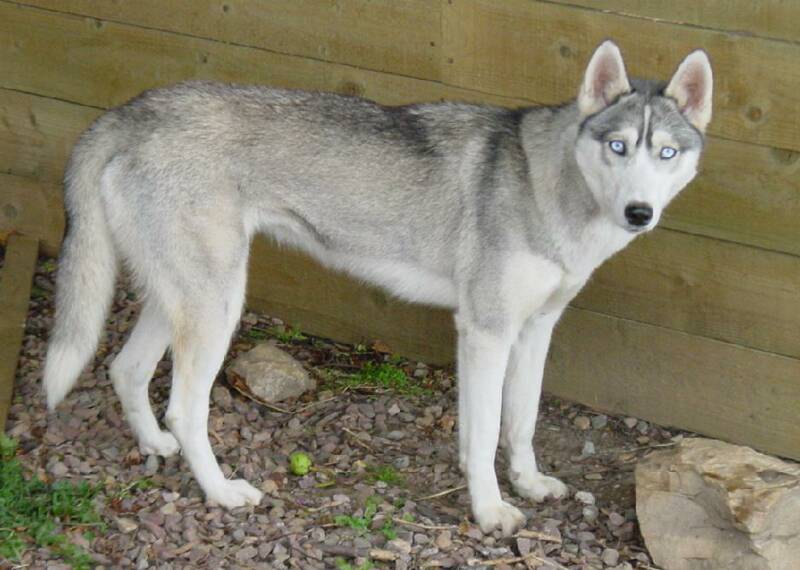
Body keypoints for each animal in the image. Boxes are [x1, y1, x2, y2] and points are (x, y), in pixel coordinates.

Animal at [43, 41, 712, 532]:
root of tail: (130, 111)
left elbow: (516, 425)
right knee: (185, 408)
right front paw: (490, 509)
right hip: (216, 307)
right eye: (618, 146)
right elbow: (485, 434)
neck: (549, 185)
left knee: (125, 370)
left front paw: (526, 484)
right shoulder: (487, 333)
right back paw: (222, 492)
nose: (639, 213)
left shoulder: (530, 333)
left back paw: (156, 445)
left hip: (184, 300)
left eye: (667, 153)